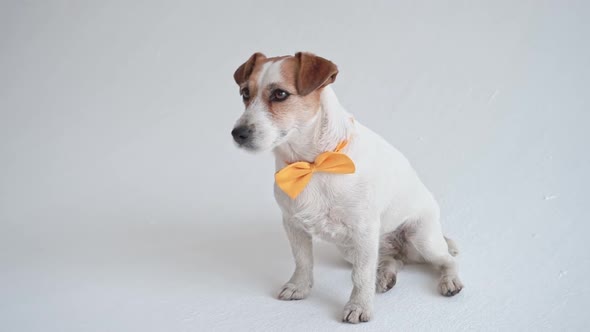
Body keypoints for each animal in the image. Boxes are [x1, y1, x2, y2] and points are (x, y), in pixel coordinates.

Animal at [231, 52, 462, 324]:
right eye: (245, 93)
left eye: (280, 94)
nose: (237, 133)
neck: (314, 163)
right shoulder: (293, 224)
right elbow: (302, 260)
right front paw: (299, 286)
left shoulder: (362, 230)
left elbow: (360, 276)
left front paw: (359, 306)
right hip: (350, 248)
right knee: (391, 260)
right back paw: (385, 275)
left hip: (421, 238)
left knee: (446, 260)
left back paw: (449, 280)